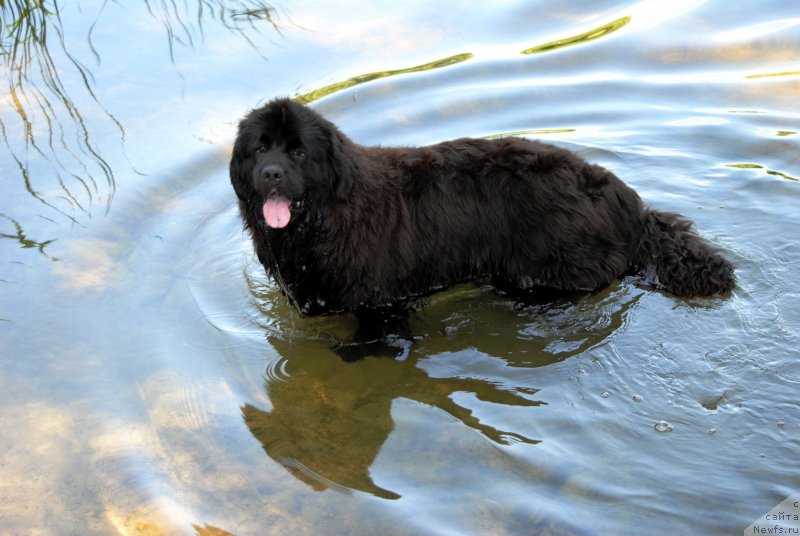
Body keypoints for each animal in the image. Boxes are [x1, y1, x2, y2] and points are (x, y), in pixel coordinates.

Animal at [228, 98, 736, 316]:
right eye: (260, 149)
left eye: (298, 152)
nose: (271, 174)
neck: (325, 218)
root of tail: (622, 196)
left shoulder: (377, 302)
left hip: (544, 269)